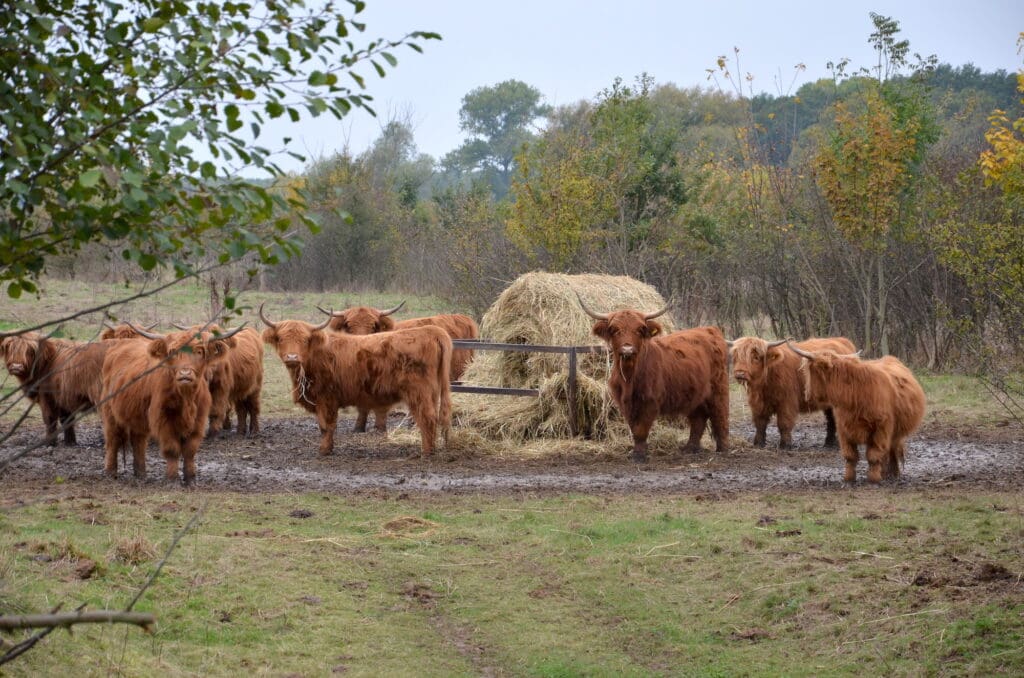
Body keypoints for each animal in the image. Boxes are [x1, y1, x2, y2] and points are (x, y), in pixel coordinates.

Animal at [100, 323, 245, 483]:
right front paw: (172, 478)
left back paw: (141, 473)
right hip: (110, 412)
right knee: (113, 439)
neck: (186, 398)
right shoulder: (163, 419)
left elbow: (190, 450)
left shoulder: (199, 420)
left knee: (138, 441)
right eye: (172, 352)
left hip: (137, 415)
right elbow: (172, 449)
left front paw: (190, 478)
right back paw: (111, 472)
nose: (185, 374)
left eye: (199, 351)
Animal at [260, 307, 452, 456]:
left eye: (305, 340)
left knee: (427, 417)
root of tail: (431, 330)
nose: (292, 357)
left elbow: (326, 425)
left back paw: (426, 452)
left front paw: (324, 450)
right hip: (433, 392)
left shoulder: (326, 398)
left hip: (419, 392)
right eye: (281, 338)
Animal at [581, 299, 733, 462]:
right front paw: (636, 452)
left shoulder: (650, 401)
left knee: (720, 416)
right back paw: (690, 448)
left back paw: (723, 449)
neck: (630, 377)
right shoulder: (626, 403)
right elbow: (634, 428)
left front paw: (639, 456)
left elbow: (641, 429)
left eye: (640, 329)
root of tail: (710, 329)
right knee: (698, 419)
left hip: (719, 389)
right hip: (696, 392)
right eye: (614, 329)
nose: (627, 349)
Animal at [782, 346, 929, 483]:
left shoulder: (881, 428)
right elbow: (850, 456)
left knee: (892, 449)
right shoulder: (843, 428)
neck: (855, 393)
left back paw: (893, 474)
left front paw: (874, 478)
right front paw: (849, 478)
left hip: (896, 432)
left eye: (810, 371)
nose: (807, 395)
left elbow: (874, 454)